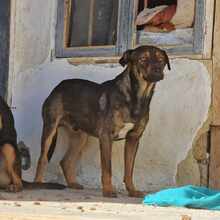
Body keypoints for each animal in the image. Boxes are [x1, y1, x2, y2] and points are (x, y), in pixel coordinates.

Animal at [35, 45, 171, 197]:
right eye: (142, 59)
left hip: (80, 137)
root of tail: (58, 86)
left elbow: (129, 170)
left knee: (66, 161)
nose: (157, 70)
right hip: (50, 129)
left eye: (161, 60)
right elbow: (107, 168)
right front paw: (108, 190)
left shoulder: (133, 138)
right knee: (42, 159)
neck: (138, 96)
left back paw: (72, 183)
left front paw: (132, 190)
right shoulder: (106, 137)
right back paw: (38, 184)